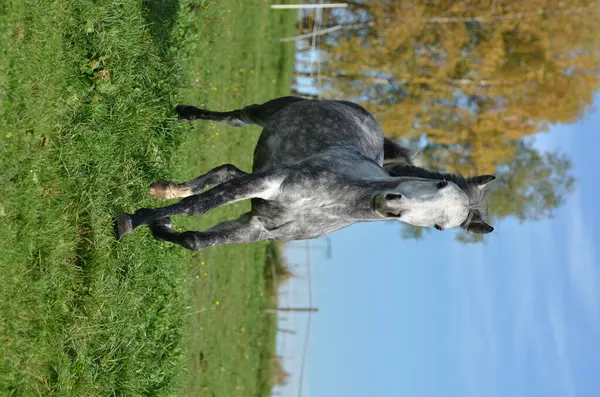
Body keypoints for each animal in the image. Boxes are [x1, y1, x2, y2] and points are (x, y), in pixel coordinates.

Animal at [115, 95, 494, 251]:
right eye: (439, 182)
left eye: (440, 227)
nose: (390, 204)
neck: (330, 202)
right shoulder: (267, 182)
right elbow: (199, 207)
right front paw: (132, 221)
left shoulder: (256, 228)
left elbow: (194, 241)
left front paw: (162, 226)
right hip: (264, 114)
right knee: (235, 118)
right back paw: (185, 113)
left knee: (224, 170)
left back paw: (168, 188)